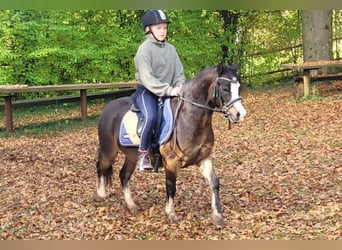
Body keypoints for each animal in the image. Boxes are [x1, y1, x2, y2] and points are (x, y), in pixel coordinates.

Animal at [94, 62, 246, 227]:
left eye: (238, 87)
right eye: (224, 88)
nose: (240, 114)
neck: (189, 118)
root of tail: (108, 108)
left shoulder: (205, 159)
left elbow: (214, 183)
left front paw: (217, 216)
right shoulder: (171, 162)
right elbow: (171, 186)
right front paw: (171, 214)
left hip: (131, 156)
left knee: (124, 176)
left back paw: (131, 206)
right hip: (109, 151)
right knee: (101, 166)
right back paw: (100, 195)